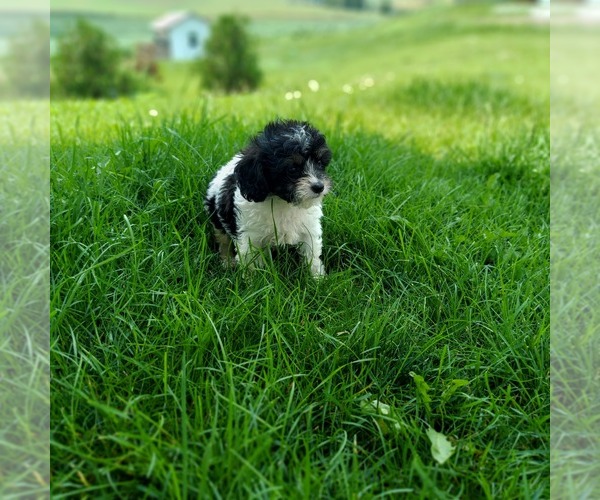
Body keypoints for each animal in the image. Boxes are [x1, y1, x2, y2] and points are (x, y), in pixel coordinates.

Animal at [204, 120, 330, 278]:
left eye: (319, 163)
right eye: (292, 169)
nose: (319, 187)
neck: (283, 202)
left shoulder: (309, 229)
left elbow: (311, 253)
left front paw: (317, 278)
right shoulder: (250, 235)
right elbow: (251, 260)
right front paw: (254, 281)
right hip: (216, 219)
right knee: (223, 240)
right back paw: (227, 261)